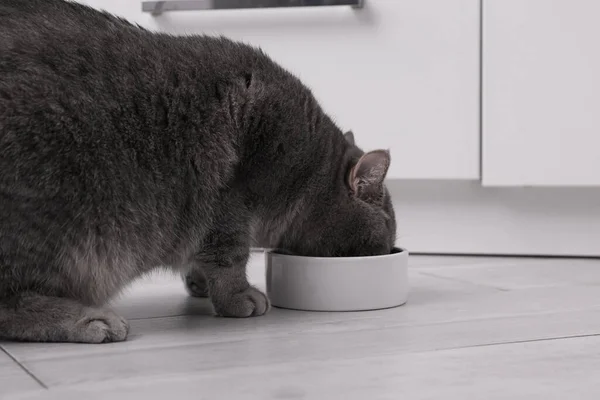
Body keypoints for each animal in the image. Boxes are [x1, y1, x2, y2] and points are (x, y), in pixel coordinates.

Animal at [0, 0, 396, 344]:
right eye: (389, 227)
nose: (392, 247)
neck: (309, 165)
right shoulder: (231, 199)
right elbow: (230, 255)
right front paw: (239, 297)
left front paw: (199, 283)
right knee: (10, 305)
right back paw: (89, 320)